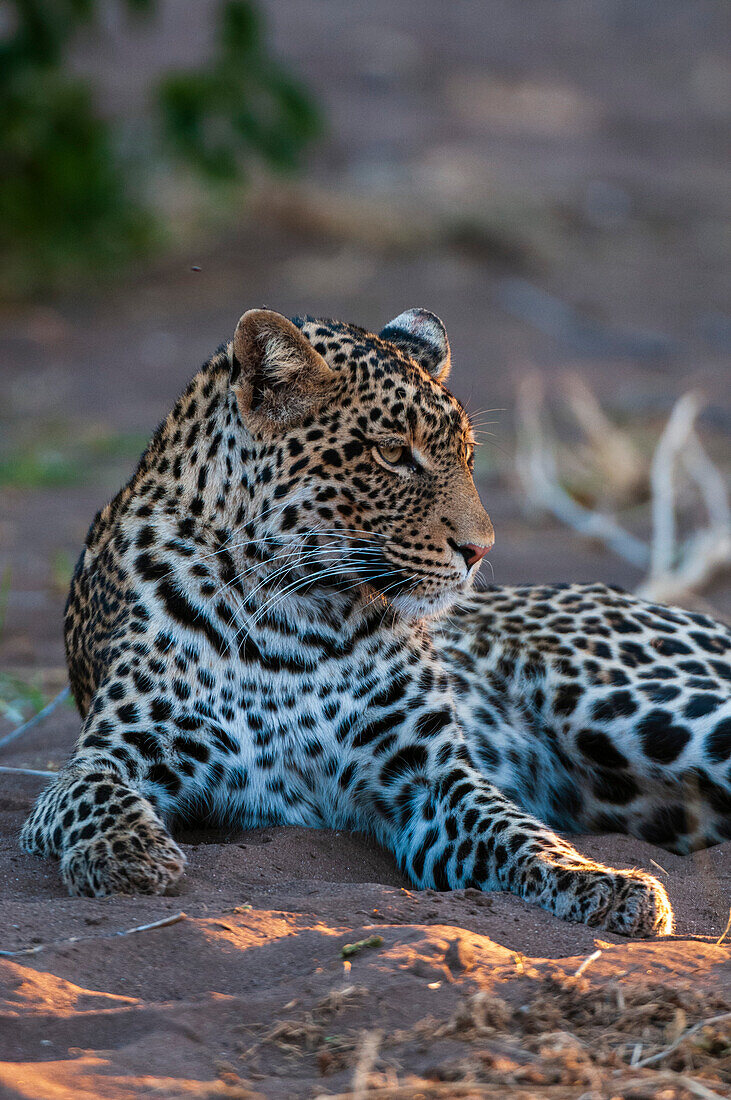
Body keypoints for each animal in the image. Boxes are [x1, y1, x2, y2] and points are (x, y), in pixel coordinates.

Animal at [19, 305, 725, 932]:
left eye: (467, 457)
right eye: (391, 454)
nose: (480, 550)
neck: (294, 621)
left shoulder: (430, 776)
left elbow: (521, 831)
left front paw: (604, 882)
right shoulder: (108, 755)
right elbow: (92, 794)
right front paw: (129, 854)